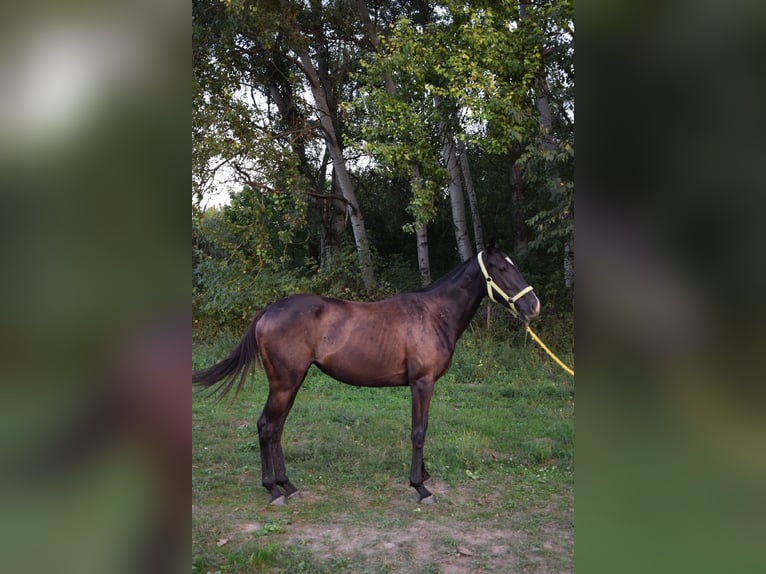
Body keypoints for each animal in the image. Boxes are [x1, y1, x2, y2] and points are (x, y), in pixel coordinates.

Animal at [192, 243, 540, 504]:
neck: (433, 314)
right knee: (266, 427)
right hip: (284, 384)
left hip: (291, 383)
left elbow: (422, 429)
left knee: (276, 428)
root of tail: (267, 311)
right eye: (502, 268)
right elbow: (419, 431)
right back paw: (273, 490)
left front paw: (425, 475)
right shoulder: (422, 383)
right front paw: (420, 486)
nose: (534, 306)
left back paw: (287, 486)